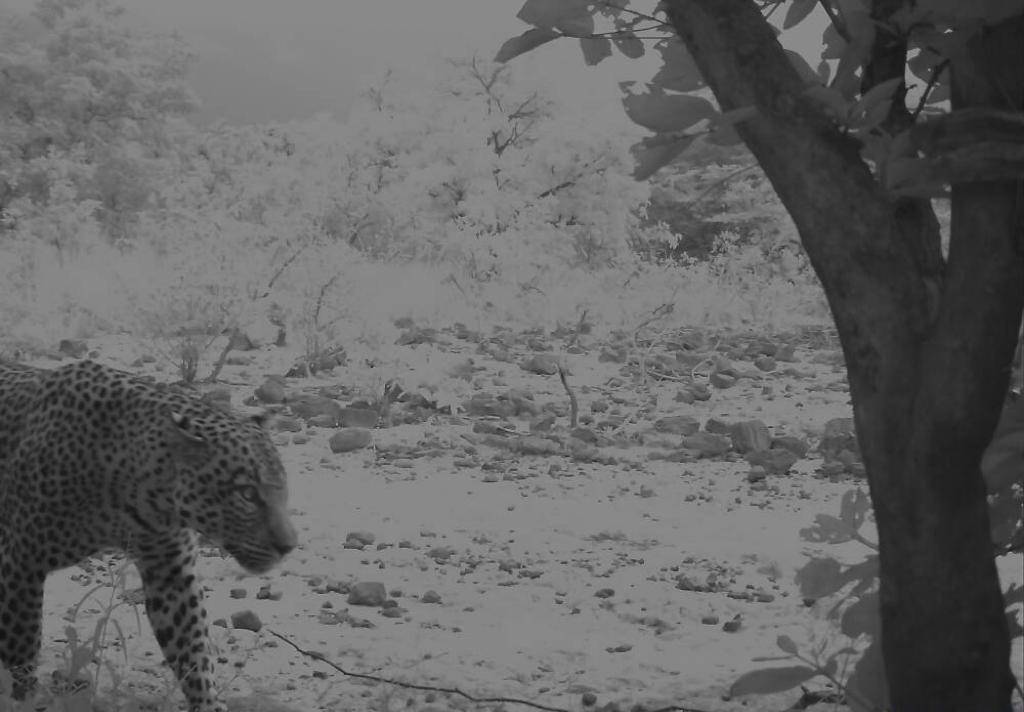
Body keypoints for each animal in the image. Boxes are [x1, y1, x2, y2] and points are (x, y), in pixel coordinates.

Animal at [0, 359, 297, 712]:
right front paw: (23, 698)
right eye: (247, 494)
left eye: (282, 488)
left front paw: (207, 702)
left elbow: (192, 646)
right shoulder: (20, 560)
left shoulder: (171, 569)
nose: (289, 546)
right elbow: (22, 642)